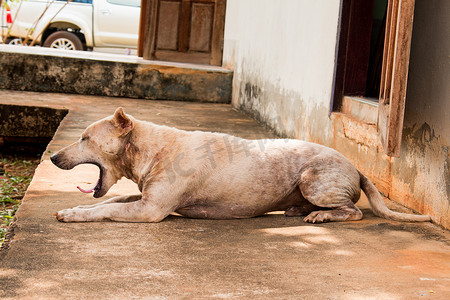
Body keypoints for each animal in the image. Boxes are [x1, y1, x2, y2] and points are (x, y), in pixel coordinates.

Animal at [51, 108, 430, 223]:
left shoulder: (151, 210)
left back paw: (322, 216)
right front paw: (72, 208)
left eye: (84, 138)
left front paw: (73, 215)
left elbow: (104, 208)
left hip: (314, 181)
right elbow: (110, 201)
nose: (52, 157)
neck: (150, 148)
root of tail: (356, 167)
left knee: (354, 210)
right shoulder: (143, 199)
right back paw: (298, 210)